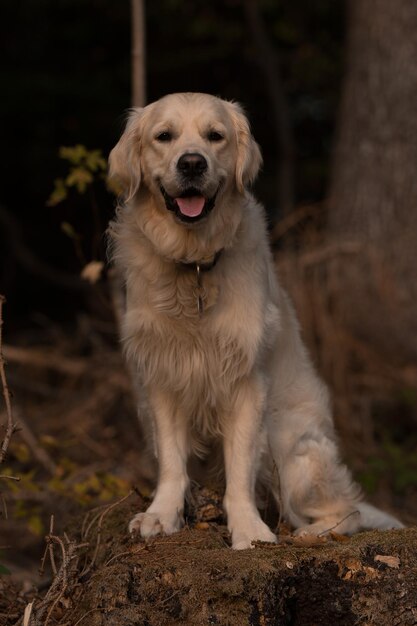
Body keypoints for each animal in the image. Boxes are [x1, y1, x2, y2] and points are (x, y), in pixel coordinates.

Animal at [108, 92, 404, 544]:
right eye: (164, 136)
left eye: (215, 136)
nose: (191, 164)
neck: (195, 266)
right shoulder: (162, 371)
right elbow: (173, 462)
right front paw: (161, 514)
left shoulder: (246, 380)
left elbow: (240, 470)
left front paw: (248, 528)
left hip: (290, 442)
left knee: (346, 510)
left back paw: (312, 534)